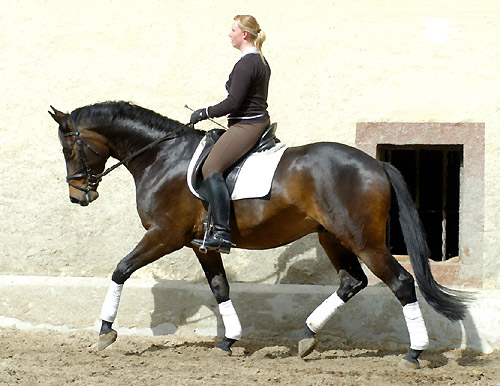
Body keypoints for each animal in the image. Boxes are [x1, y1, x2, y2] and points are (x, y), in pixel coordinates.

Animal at [50, 102, 468, 368]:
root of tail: (376, 164)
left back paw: (414, 354)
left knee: (401, 283)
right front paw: (228, 340)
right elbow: (220, 287)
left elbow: (121, 269)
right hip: (331, 236)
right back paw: (307, 336)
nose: (78, 195)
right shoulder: (201, 244)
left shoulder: (164, 234)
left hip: (364, 241)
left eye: (69, 148)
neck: (162, 157)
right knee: (352, 282)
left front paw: (105, 331)